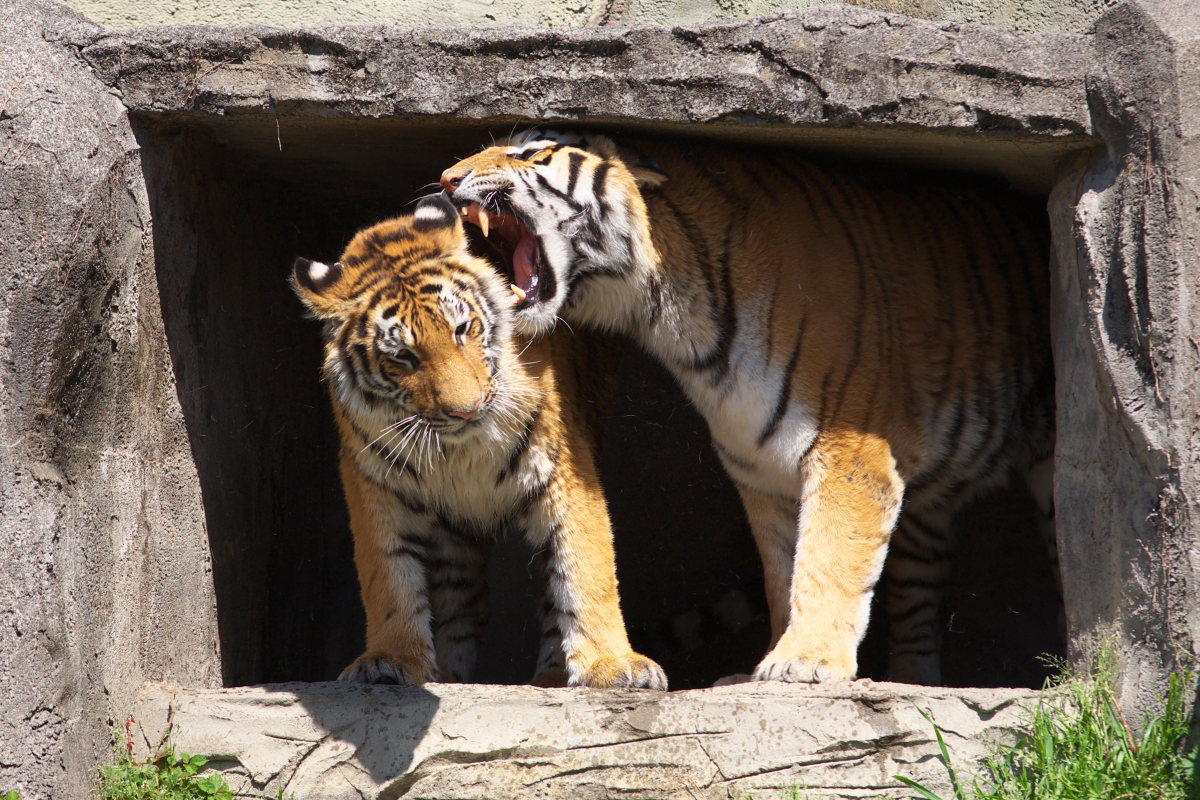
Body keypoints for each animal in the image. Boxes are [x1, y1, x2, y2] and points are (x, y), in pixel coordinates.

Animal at [288, 191, 667, 690]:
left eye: (461, 329)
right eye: (403, 356)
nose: (464, 410)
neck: (459, 449)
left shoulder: (565, 473)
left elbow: (587, 569)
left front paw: (613, 664)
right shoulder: (375, 485)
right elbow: (388, 576)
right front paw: (391, 660)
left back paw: (550, 674)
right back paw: (450, 676)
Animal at [441, 133, 1051, 690]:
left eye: (532, 153)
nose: (446, 180)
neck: (675, 321)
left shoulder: (851, 454)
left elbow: (827, 558)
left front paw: (806, 661)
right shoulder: (763, 471)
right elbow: (784, 572)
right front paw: (770, 664)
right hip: (927, 514)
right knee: (917, 605)